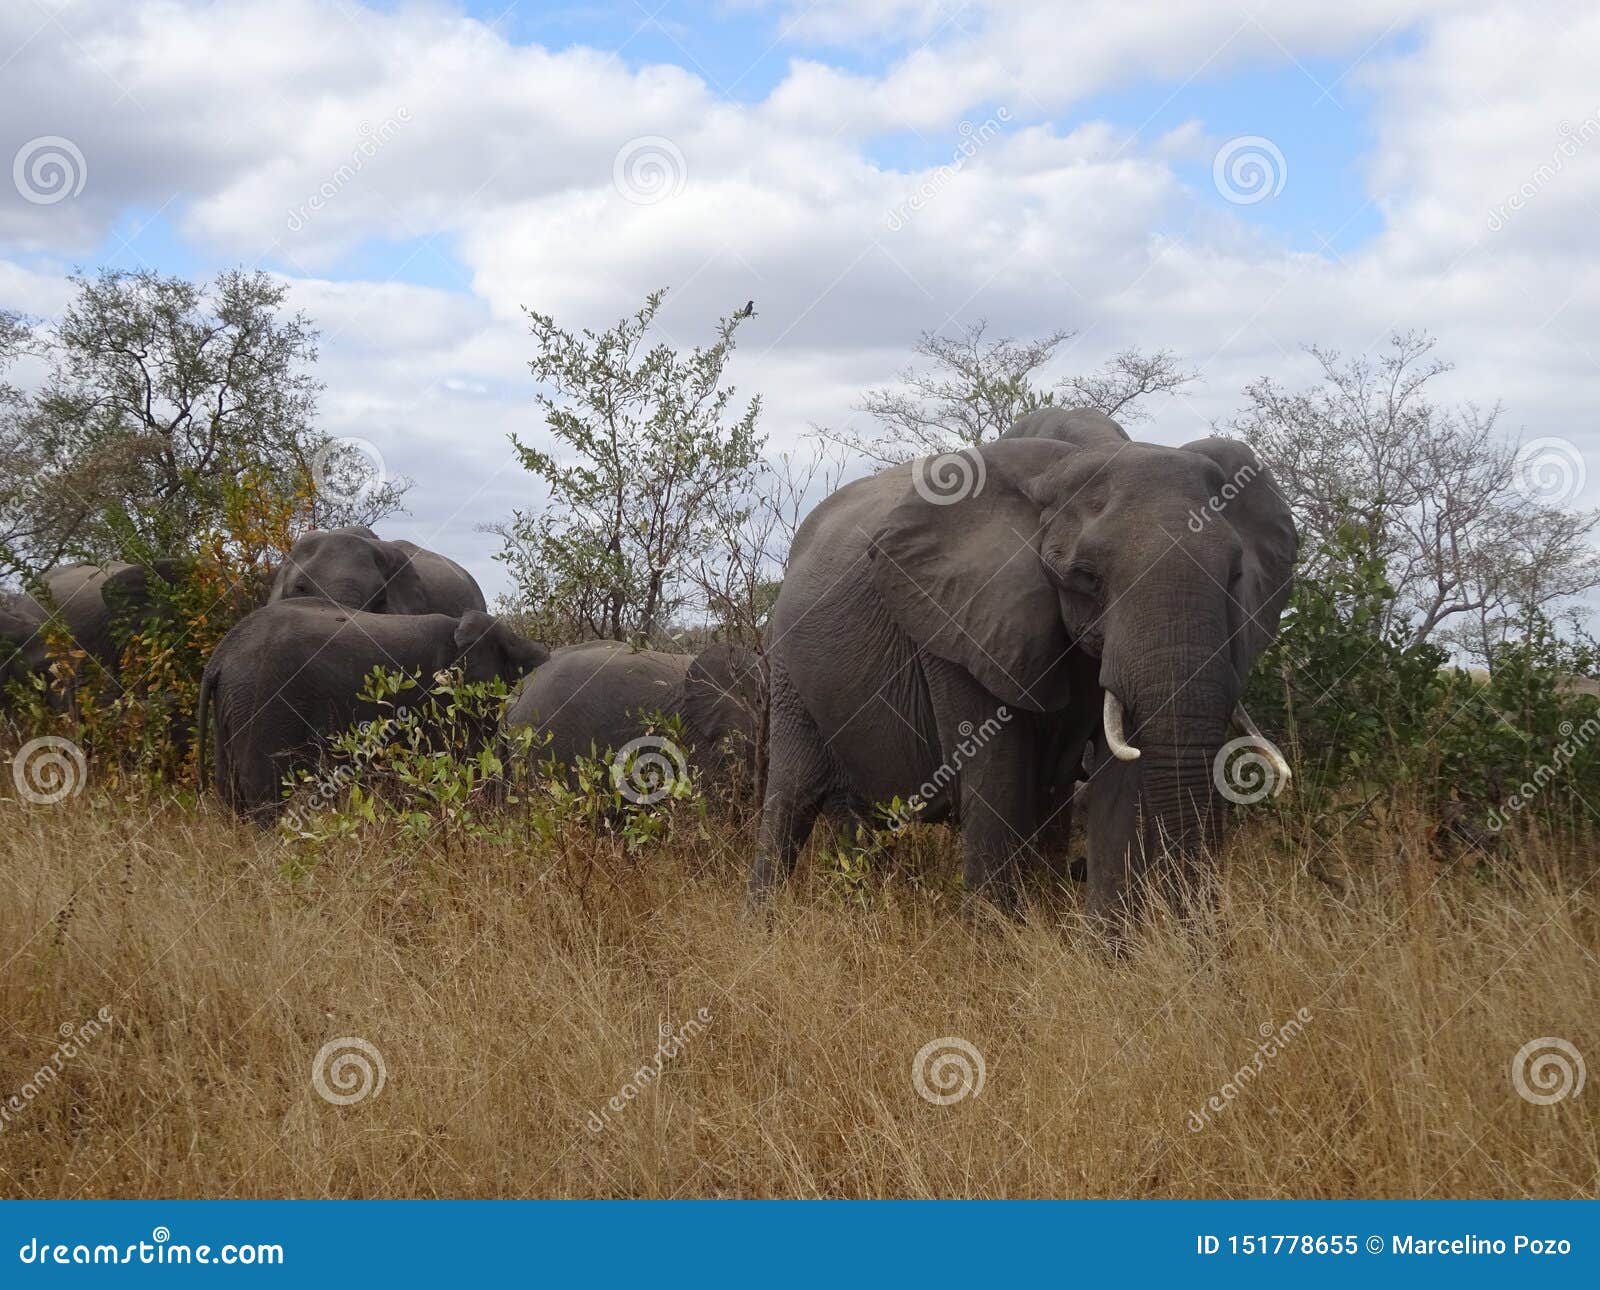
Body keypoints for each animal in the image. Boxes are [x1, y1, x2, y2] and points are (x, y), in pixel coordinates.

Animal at [196, 601, 547, 825]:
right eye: (516, 659)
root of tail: (218, 658)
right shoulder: (442, 699)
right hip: (264, 700)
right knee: (265, 793)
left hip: (233, 707)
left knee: (232, 792)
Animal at [752, 428, 1299, 934]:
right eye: (1086, 578)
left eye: (1234, 576)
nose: (1205, 945)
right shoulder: (957, 623)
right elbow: (997, 773)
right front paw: (995, 947)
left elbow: (1118, 778)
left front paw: (1107, 953)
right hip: (786, 664)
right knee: (792, 795)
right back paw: (763, 927)